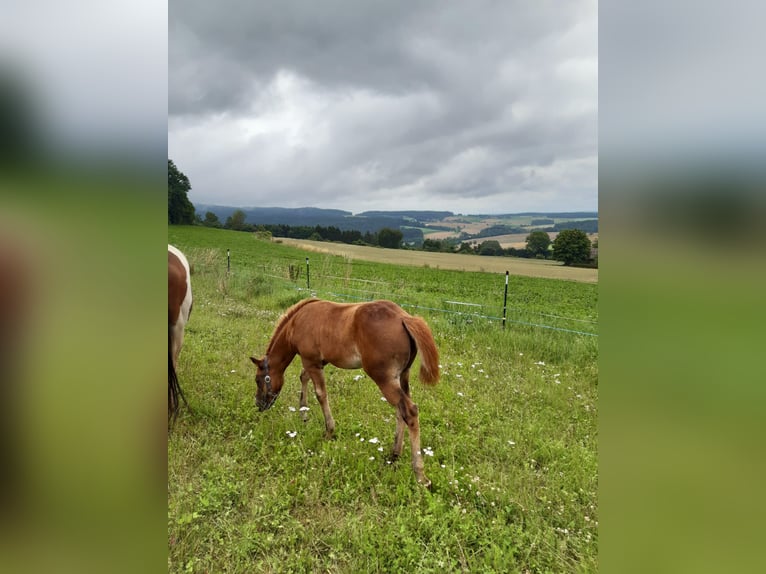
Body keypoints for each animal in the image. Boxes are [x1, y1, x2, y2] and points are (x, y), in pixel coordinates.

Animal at [252, 300, 440, 488]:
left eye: (258, 380)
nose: (259, 405)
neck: (296, 322)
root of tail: (403, 317)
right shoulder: (319, 362)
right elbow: (303, 377)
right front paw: (303, 414)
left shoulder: (310, 360)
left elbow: (320, 394)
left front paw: (329, 431)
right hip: (402, 376)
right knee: (401, 411)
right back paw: (394, 455)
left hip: (384, 378)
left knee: (410, 410)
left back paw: (420, 475)